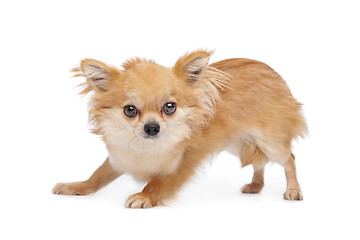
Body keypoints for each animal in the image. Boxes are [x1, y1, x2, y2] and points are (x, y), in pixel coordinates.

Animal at [52, 49, 306, 207]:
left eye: (169, 107)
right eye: (130, 110)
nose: (152, 127)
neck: (145, 148)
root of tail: (273, 74)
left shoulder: (182, 163)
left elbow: (158, 183)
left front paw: (144, 197)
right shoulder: (119, 158)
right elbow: (97, 175)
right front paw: (77, 186)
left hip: (269, 141)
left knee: (289, 159)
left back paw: (293, 190)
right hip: (237, 142)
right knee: (259, 162)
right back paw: (256, 185)